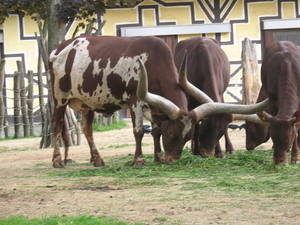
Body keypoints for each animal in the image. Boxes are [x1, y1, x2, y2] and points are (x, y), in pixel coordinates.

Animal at [49, 35, 270, 168]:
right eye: (171, 132)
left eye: (189, 136)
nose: (173, 159)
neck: (152, 62)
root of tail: (60, 48)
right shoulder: (136, 102)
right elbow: (139, 132)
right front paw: (139, 160)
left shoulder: (156, 107)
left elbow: (155, 132)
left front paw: (158, 157)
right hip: (59, 98)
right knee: (57, 126)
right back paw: (58, 161)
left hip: (86, 103)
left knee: (88, 130)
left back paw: (97, 160)